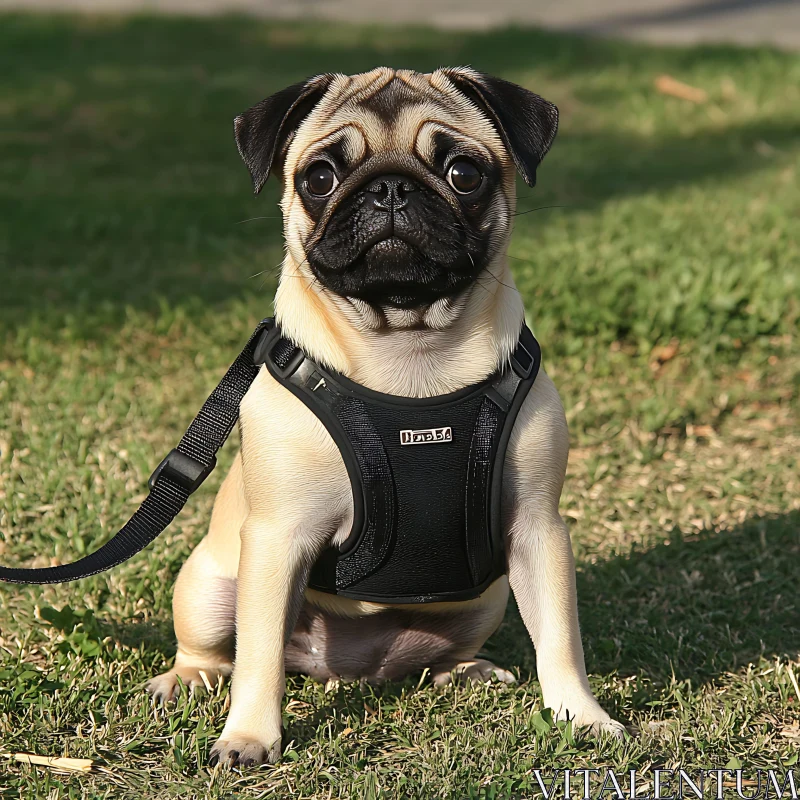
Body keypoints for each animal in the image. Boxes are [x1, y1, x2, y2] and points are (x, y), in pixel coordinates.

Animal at [148, 65, 624, 764]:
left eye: (463, 173)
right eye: (319, 178)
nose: (391, 188)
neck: (408, 352)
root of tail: (349, 668)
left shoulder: (537, 529)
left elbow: (561, 638)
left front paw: (580, 715)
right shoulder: (277, 538)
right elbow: (258, 657)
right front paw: (250, 736)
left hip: (487, 595)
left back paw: (469, 670)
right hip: (211, 584)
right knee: (221, 648)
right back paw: (188, 678)